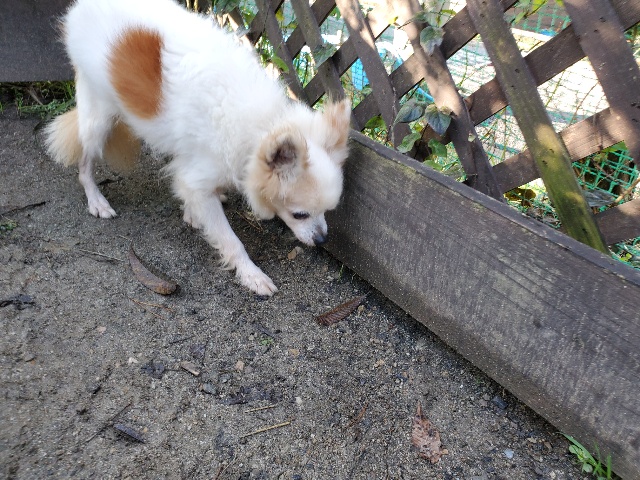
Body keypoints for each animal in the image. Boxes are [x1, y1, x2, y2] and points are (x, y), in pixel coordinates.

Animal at [44, 0, 351, 296]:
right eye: (299, 214)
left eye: (328, 211)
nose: (322, 238)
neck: (265, 125)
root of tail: (79, 8)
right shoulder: (202, 176)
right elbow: (231, 241)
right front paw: (251, 275)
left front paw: (193, 212)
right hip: (99, 120)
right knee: (84, 164)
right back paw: (96, 201)